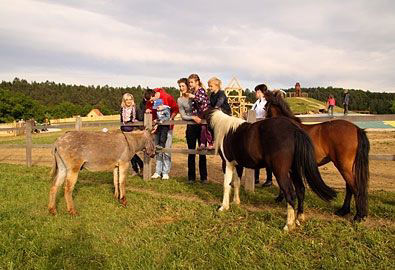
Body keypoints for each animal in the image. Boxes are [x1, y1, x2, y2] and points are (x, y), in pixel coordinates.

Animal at [207, 108, 338, 231]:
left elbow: (226, 185)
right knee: (300, 189)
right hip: (294, 170)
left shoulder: (227, 163)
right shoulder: (238, 165)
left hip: (281, 172)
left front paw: (223, 207)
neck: (226, 129)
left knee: (290, 193)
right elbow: (237, 183)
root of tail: (294, 130)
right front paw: (236, 202)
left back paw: (288, 225)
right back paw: (299, 218)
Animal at [264, 90, 370, 221]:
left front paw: (280, 198)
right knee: (349, 187)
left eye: (265, 107)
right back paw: (343, 210)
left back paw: (358, 216)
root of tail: (356, 129)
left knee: (354, 187)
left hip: (343, 166)